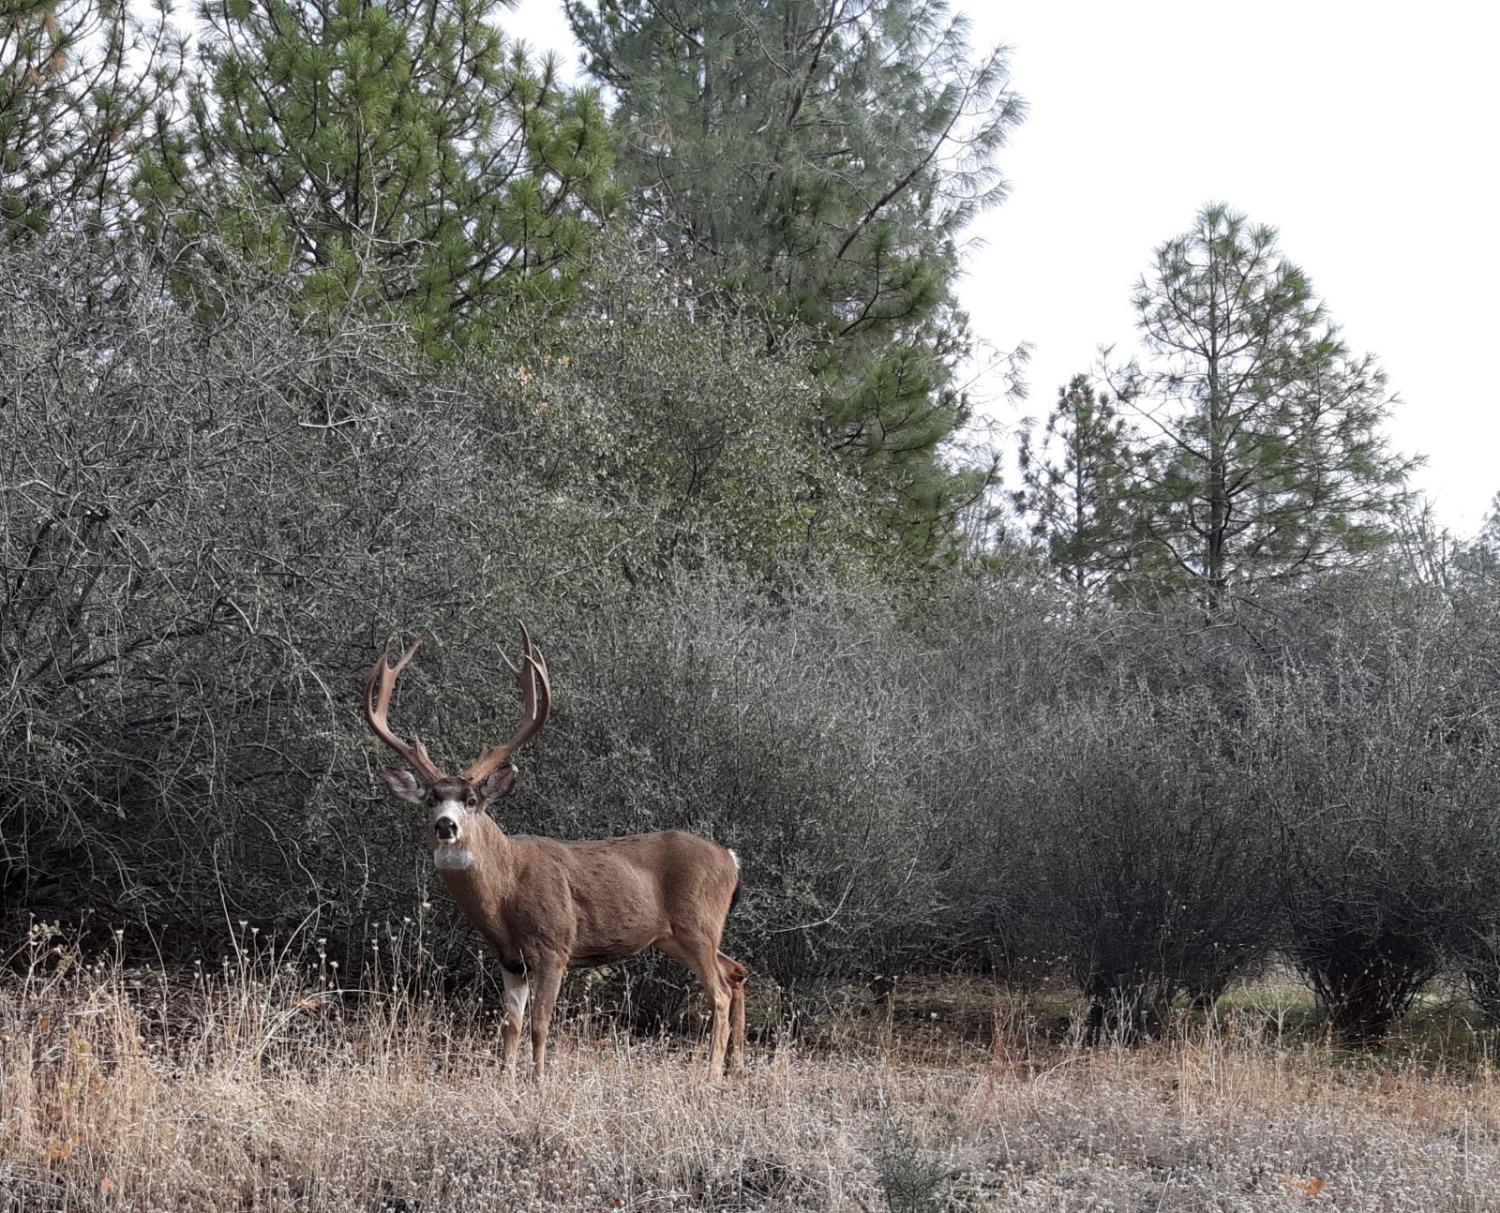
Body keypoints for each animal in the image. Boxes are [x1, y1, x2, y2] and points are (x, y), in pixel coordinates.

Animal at [358, 629, 744, 1073]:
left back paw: (711, 1073)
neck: (505, 893)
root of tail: (730, 858)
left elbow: (539, 1025)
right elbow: (510, 1026)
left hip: (698, 924)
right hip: (678, 935)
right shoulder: (510, 959)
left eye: (472, 800)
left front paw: (538, 1080)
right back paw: (735, 1064)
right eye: (431, 800)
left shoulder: (554, 945)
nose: (446, 825)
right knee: (736, 972)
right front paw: (505, 1080)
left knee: (720, 991)